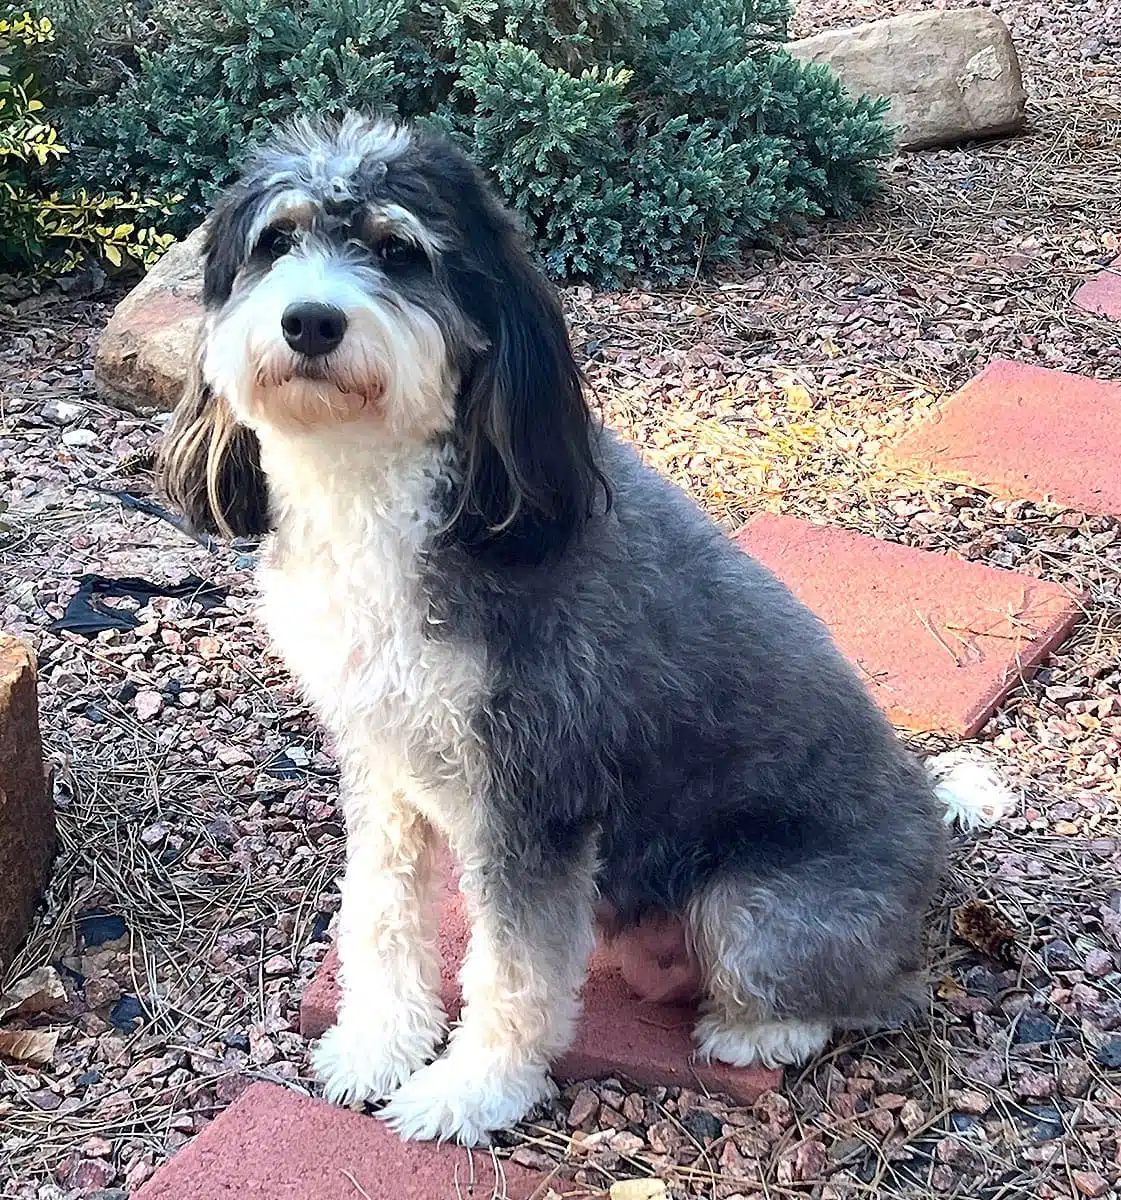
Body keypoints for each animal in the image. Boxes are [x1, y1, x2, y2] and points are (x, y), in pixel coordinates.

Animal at [159, 112, 1017, 1142]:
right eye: (276, 242)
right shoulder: (385, 759)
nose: (312, 322)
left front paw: (469, 1090)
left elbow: (514, 970)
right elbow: (381, 914)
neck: (393, 497)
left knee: (874, 993)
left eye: (400, 251)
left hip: (756, 908)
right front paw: (378, 1043)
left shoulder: (536, 796)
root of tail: (928, 823)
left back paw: (756, 1031)